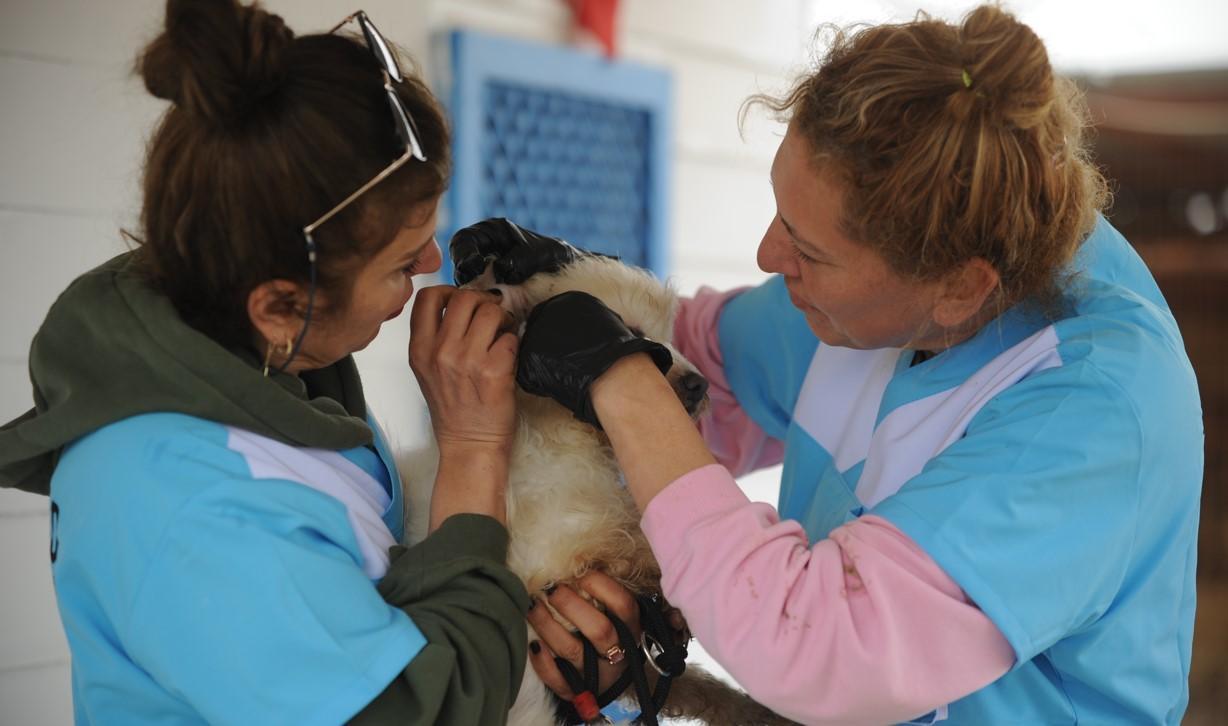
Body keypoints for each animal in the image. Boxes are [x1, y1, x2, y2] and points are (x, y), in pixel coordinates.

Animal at [397, 255, 790, 726]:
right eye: (632, 334)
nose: (701, 384)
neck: (563, 437)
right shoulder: (557, 570)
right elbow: (650, 556)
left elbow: (689, 679)